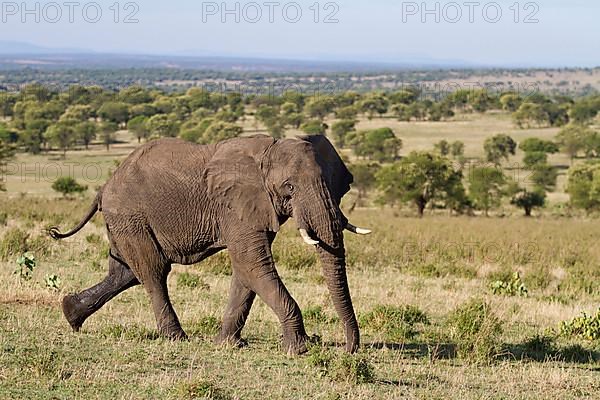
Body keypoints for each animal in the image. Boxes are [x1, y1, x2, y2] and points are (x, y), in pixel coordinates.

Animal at [49, 134, 370, 354]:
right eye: (289, 188)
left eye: (333, 186)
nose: (348, 349)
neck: (268, 151)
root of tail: (104, 187)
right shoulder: (234, 205)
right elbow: (252, 264)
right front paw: (299, 348)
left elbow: (246, 271)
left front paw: (228, 344)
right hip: (130, 217)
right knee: (153, 273)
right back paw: (176, 337)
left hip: (124, 222)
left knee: (124, 273)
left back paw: (70, 313)